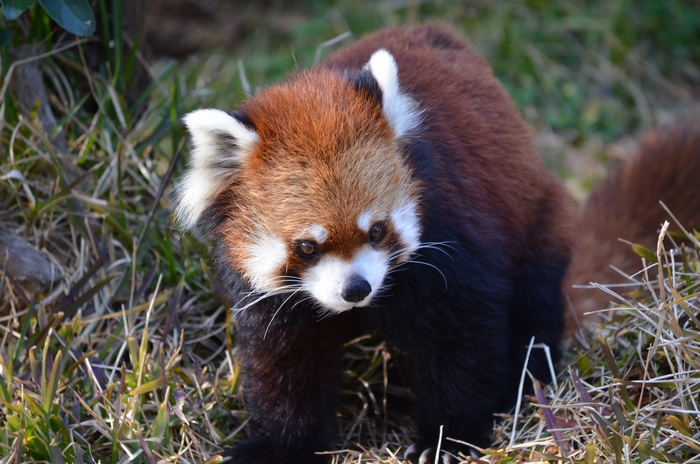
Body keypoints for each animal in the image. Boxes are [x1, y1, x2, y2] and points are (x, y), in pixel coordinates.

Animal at [171, 22, 700, 464]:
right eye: (308, 247)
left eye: (377, 230)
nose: (356, 289)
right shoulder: (268, 295)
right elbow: (285, 363)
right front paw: (280, 446)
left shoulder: (451, 236)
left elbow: (461, 341)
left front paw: (447, 440)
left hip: (538, 221)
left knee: (534, 310)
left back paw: (523, 385)